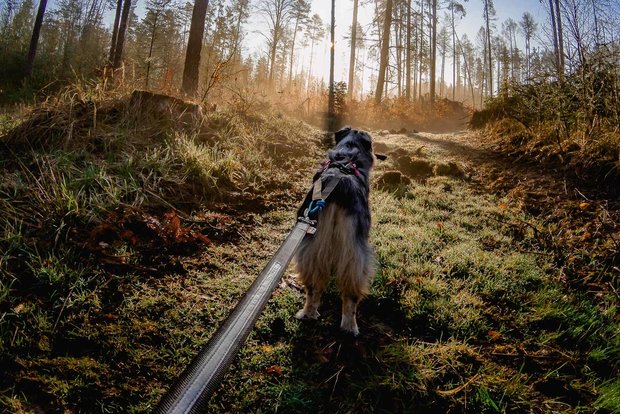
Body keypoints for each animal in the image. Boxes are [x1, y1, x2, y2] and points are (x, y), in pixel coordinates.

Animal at [296, 124, 378, 334]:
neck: (347, 156)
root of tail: (338, 185)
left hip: (310, 246)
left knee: (313, 286)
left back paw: (308, 314)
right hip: (355, 253)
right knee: (351, 294)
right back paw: (350, 327)